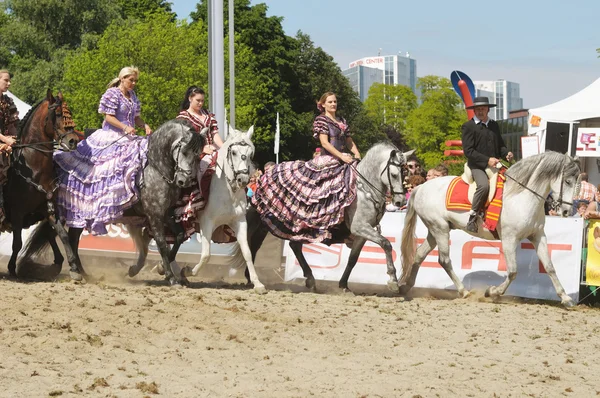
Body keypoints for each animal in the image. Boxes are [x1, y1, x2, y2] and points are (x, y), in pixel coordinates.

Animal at [5, 90, 81, 278]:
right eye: (58, 114)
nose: (73, 141)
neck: (33, 167)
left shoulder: (49, 208)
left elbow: (62, 235)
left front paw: (74, 268)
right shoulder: (17, 212)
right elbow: (17, 243)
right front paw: (12, 268)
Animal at [19, 119, 206, 284]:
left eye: (198, 155)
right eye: (184, 151)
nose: (184, 181)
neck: (154, 168)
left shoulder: (166, 213)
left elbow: (179, 236)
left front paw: (158, 269)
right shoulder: (154, 215)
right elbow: (161, 243)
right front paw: (170, 276)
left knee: (67, 238)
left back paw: (79, 272)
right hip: (65, 212)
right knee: (58, 234)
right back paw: (69, 269)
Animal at [127, 126, 258, 290]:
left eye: (250, 154)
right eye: (233, 152)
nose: (243, 179)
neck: (228, 191)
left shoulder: (239, 221)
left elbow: (247, 252)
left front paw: (258, 283)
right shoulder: (207, 222)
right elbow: (206, 254)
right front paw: (188, 271)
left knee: (149, 240)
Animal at [246, 142, 410, 292]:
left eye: (405, 173)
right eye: (394, 174)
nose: (400, 201)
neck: (365, 190)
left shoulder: (363, 233)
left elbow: (353, 258)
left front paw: (343, 285)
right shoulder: (360, 227)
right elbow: (386, 244)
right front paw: (393, 280)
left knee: (286, 246)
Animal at [398, 152, 580, 308]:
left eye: (577, 181)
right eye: (568, 181)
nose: (567, 211)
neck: (521, 196)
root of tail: (420, 188)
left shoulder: (538, 236)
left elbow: (549, 267)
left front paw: (565, 298)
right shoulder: (509, 238)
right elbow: (513, 271)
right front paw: (492, 292)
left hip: (434, 230)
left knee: (419, 255)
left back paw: (406, 287)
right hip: (440, 228)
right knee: (444, 260)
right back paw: (464, 291)